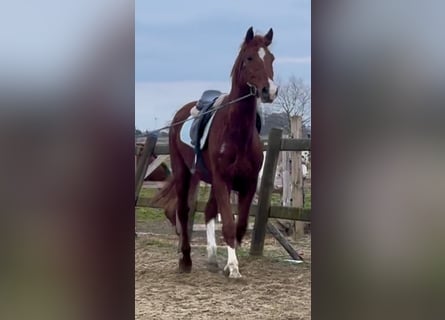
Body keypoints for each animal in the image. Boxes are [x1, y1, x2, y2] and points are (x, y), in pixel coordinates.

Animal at [154, 27, 276, 278]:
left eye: (271, 58)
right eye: (250, 58)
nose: (270, 90)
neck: (237, 133)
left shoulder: (248, 183)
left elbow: (239, 226)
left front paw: (229, 263)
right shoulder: (222, 180)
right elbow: (228, 223)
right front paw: (234, 268)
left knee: (209, 211)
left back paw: (211, 258)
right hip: (184, 173)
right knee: (183, 211)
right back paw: (186, 260)